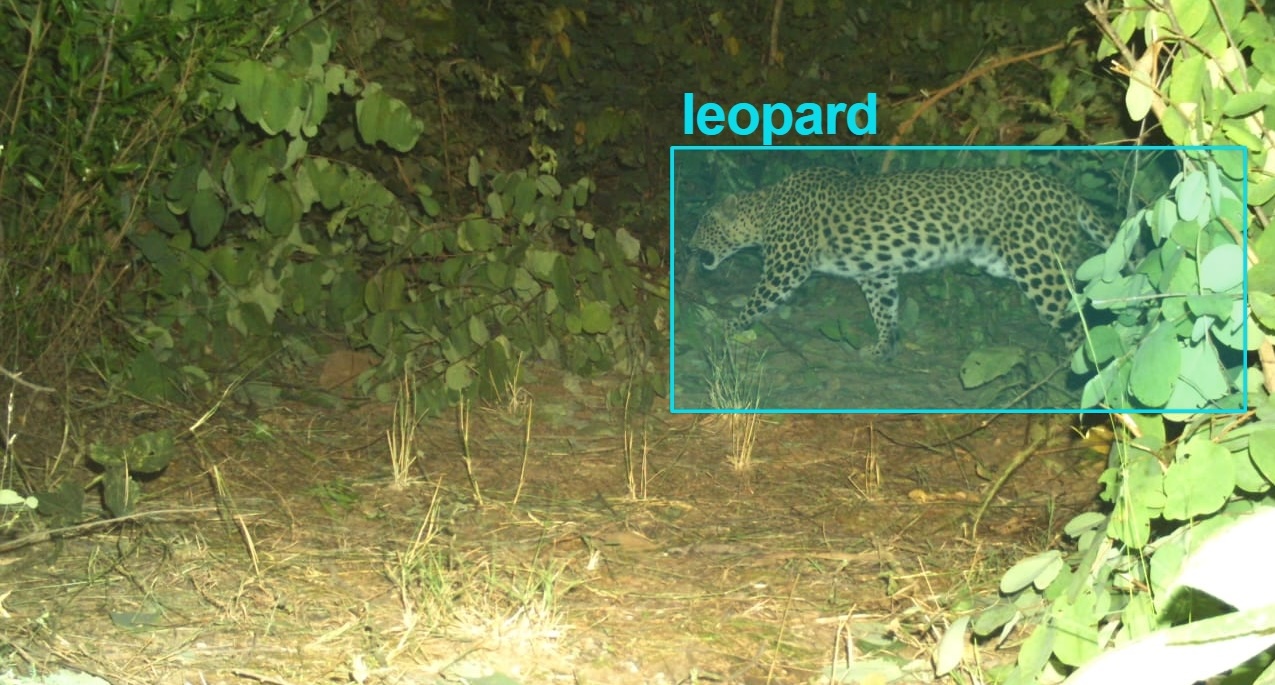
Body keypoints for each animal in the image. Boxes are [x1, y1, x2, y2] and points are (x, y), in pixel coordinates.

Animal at [688, 166, 1114, 359]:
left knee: (1073, 316)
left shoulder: (785, 267)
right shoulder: (876, 272)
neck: (764, 210)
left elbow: (755, 302)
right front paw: (882, 347)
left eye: (703, 224)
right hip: (1006, 260)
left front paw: (725, 326)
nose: (687, 246)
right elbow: (884, 309)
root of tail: (1066, 191)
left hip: (1037, 265)